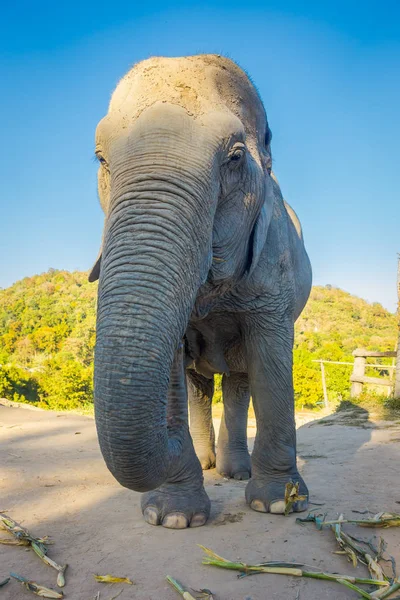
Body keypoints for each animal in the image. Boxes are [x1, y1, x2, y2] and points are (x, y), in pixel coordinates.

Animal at [90, 52, 312, 528]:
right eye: (100, 158)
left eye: (235, 157)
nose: (173, 444)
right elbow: (179, 368)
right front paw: (172, 518)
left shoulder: (274, 264)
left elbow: (271, 359)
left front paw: (279, 505)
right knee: (199, 385)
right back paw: (210, 466)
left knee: (240, 380)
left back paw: (233, 472)